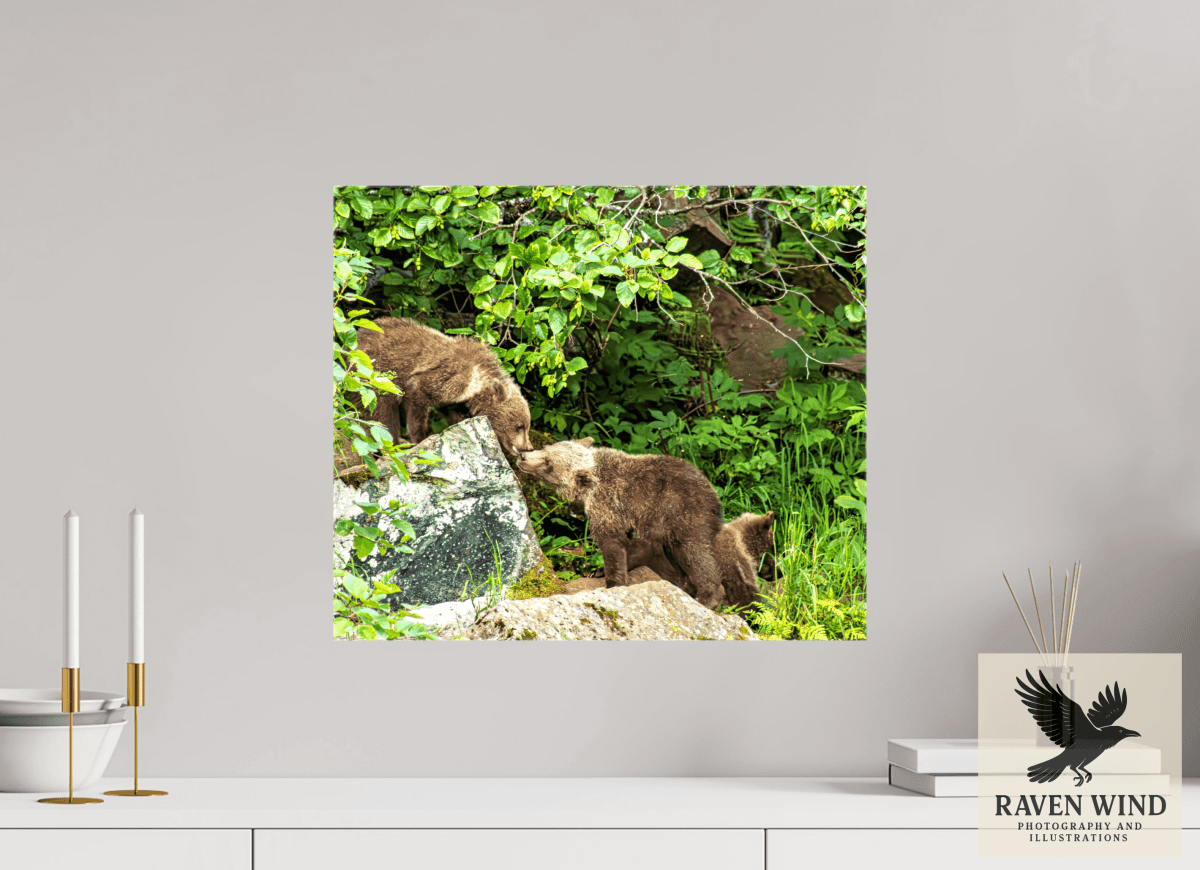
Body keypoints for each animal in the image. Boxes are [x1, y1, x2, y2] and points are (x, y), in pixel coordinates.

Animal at [355, 316, 534, 456]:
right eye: (519, 426)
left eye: (527, 425)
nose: (528, 447)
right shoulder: (443, 378)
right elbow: (417, 404)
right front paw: (419, 438)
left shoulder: (453, 397)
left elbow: (448, 409)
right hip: (375, 375)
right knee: (381, 412)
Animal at [516, 437, 726, 608]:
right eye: (546, 448)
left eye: (548, 463)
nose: (523, 456)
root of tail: (714, 496)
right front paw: (599, 570)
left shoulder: (607, 505)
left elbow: (612, 545)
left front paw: (613, 581)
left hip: (683, 515)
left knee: (697, 554)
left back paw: (707, 597)